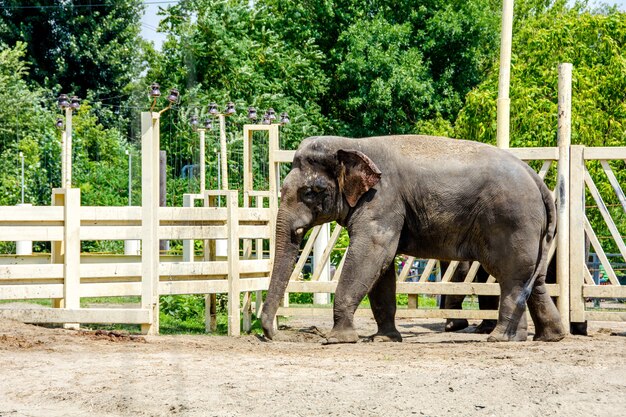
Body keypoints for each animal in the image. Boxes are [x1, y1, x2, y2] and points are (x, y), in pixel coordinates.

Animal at [260, 135, 564, 342]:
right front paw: (384, 339)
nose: (275, 336)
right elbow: (381, 269)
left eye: (310, 192)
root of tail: (537, 180)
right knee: (533, 280)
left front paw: (337, 339)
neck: (353, 144)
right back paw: (544, 337)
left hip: (511, 222)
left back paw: (499, 337)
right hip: (530, 231)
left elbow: (372, 254)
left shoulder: (382, 200)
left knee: (511, 277)